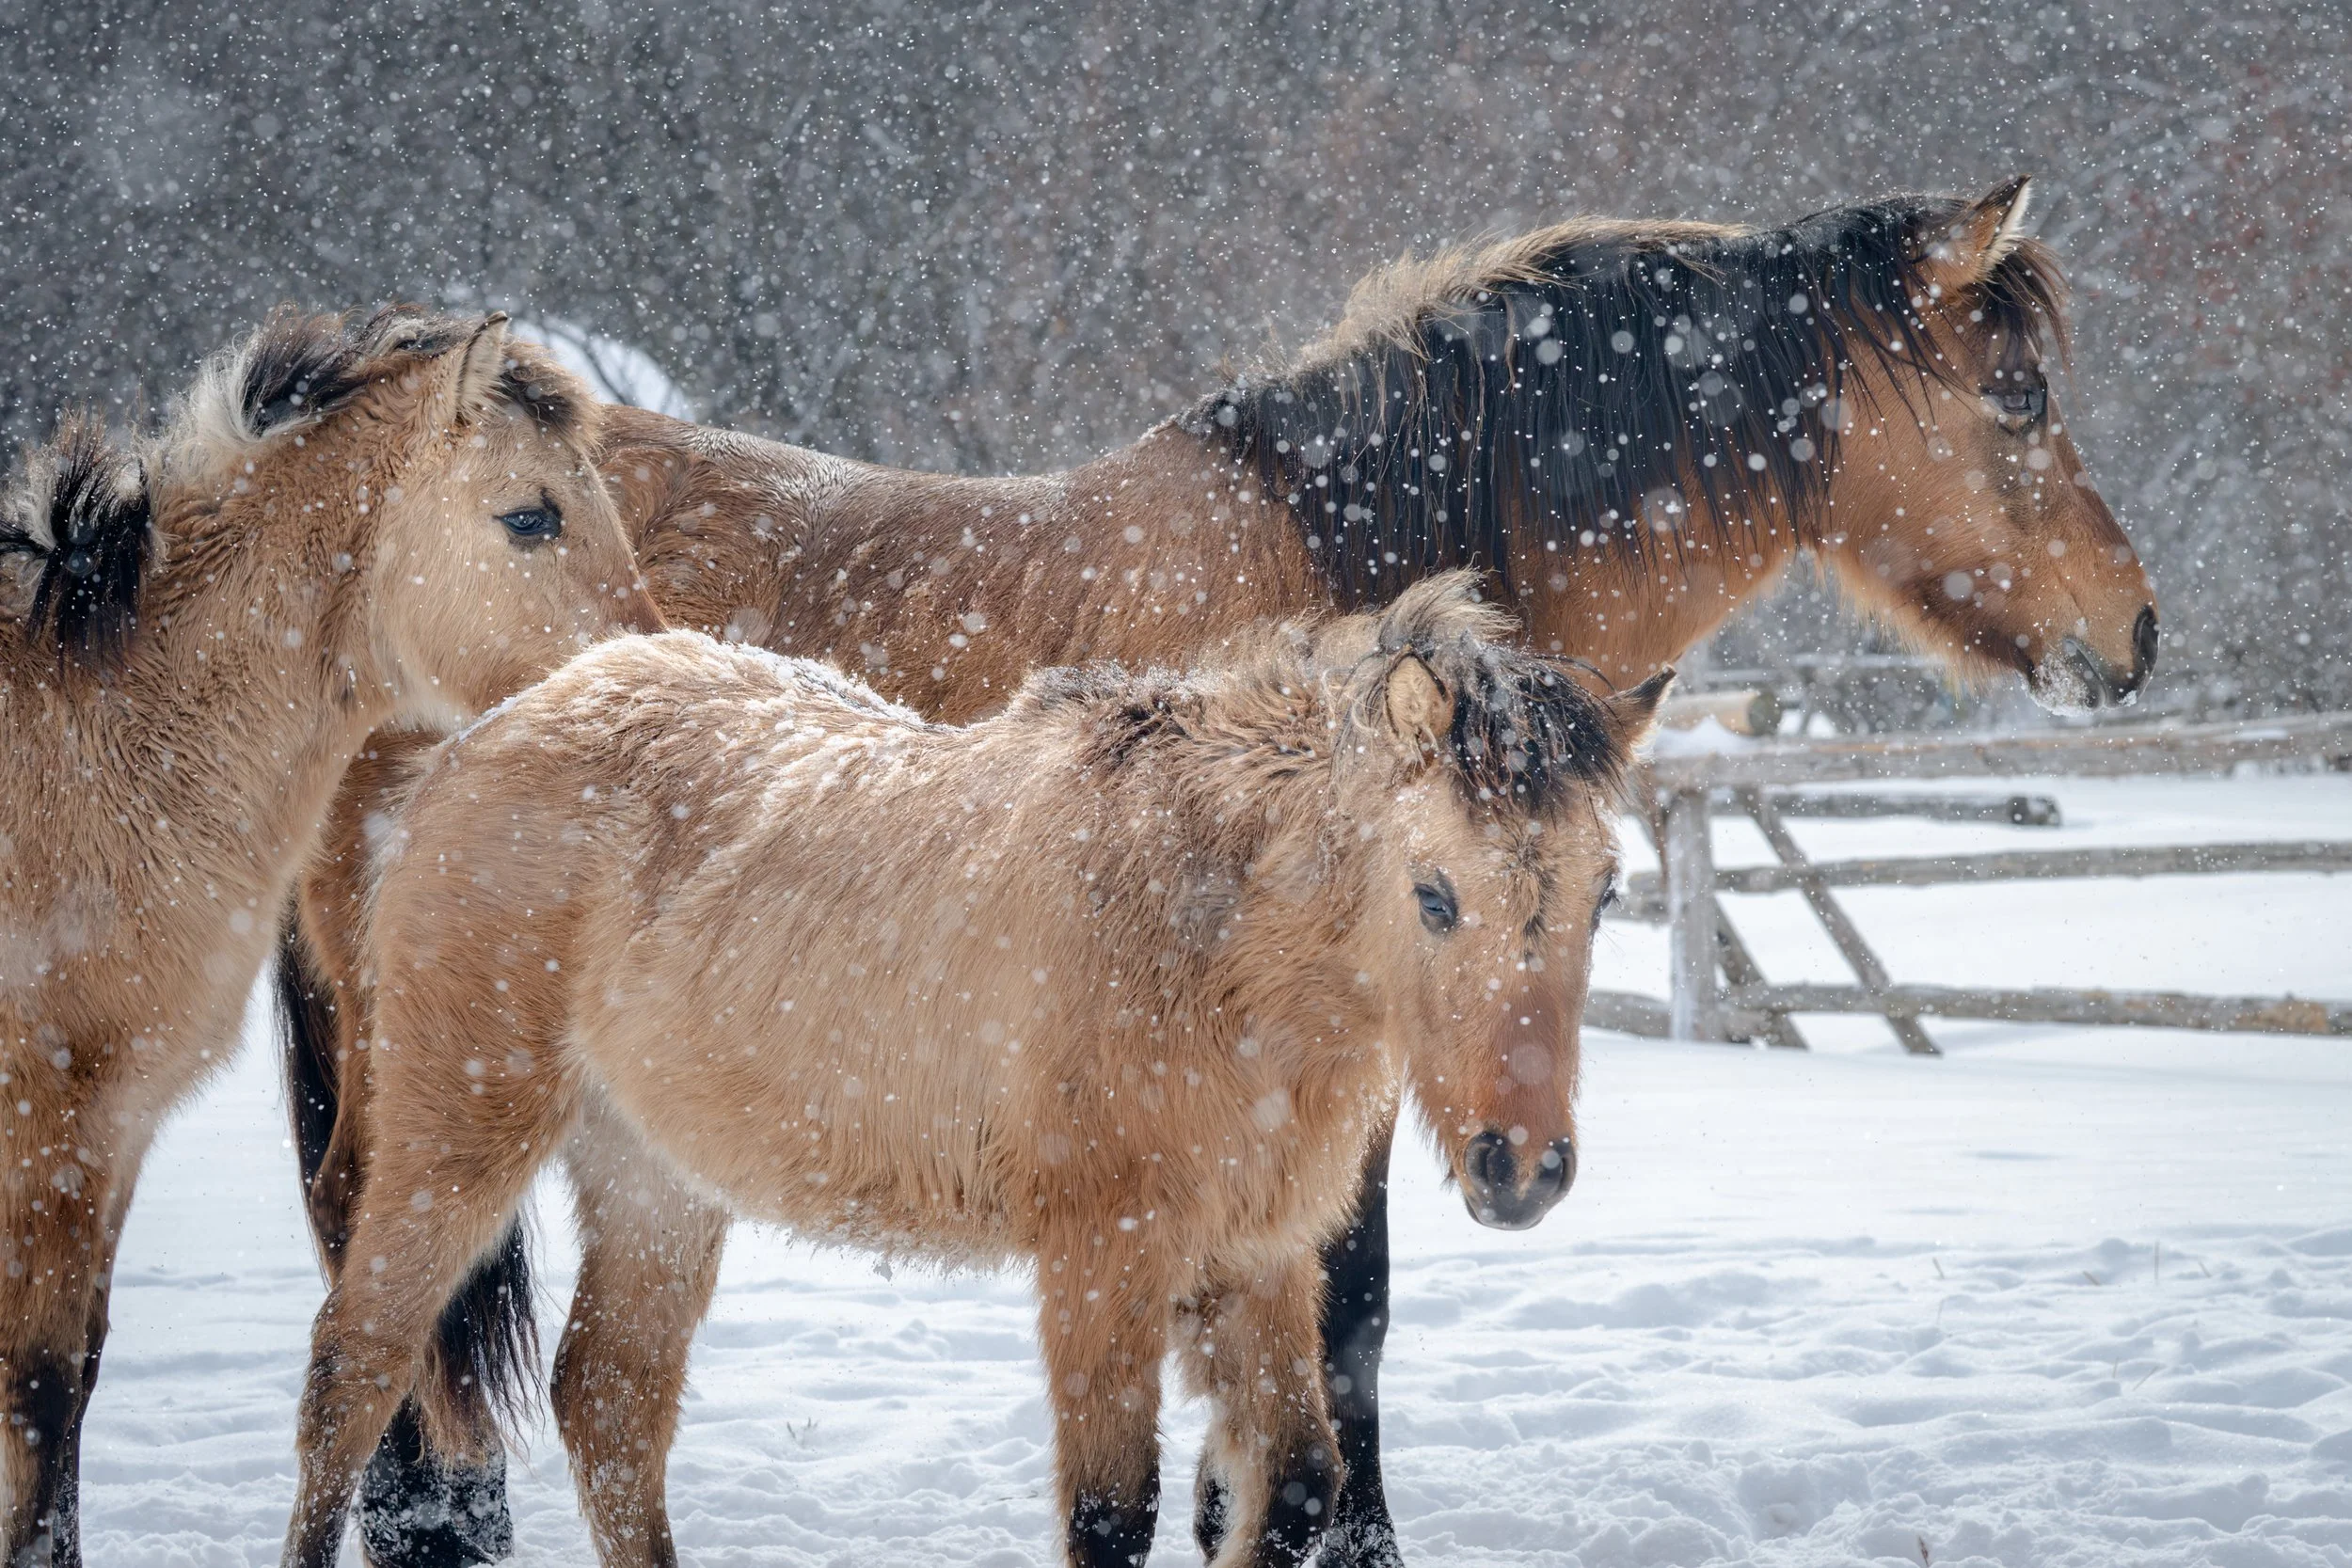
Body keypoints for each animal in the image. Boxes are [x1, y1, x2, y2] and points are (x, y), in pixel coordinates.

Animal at [0, 306, 658, 1566]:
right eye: (531, 514)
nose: (651, 673)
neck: (92, 739)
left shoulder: (110, 1130)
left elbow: (78, 1373)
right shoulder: (51, 1123)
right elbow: (44, 1385)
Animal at [277, 572, 1670, 1568]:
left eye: (1606, 891)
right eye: (1434, 892)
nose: (1521, 1165)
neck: (1205, 935)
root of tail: (467, 745)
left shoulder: (1254, 1258)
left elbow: (1292, 1487)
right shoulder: (1102, 1259)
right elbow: (1113, 1513)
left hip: (656, 1179)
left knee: (610, 1405)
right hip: (460, 1129)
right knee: (357, 1363)